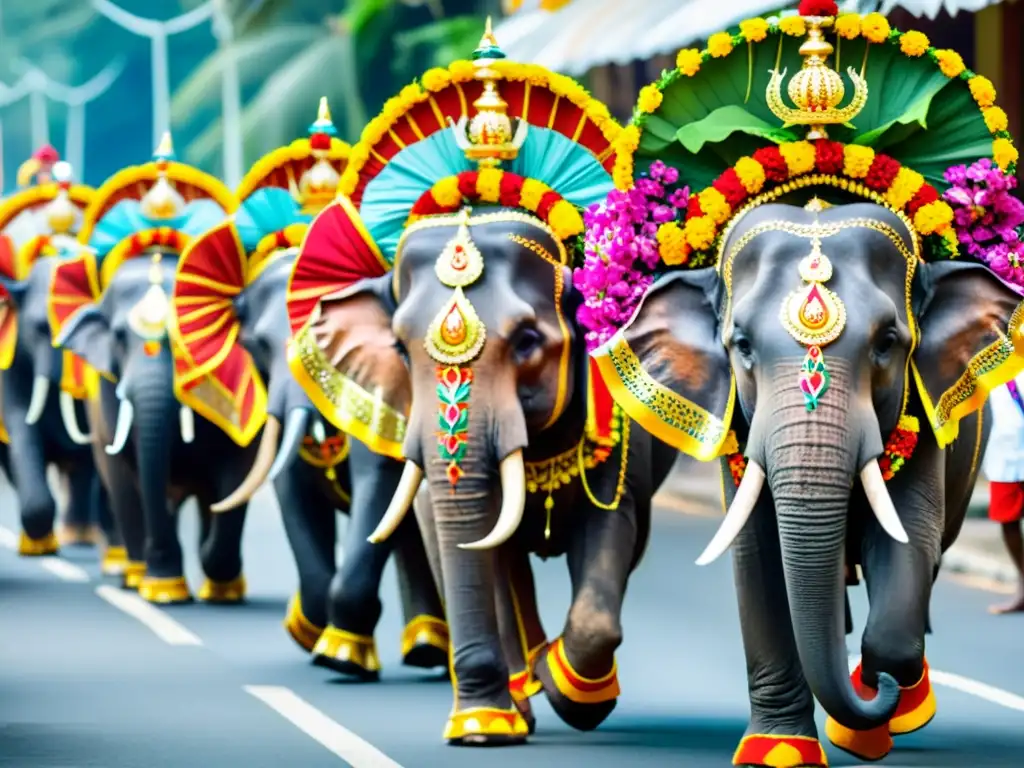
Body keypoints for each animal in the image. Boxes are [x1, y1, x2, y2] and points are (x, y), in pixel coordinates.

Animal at [45, 135, 256, 606]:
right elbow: (131, 471)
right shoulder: (109, 392)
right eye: (118, 337)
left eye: (188, 334)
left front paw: (216, 579)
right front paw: (164, 589)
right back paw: (136, 576)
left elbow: (238, 467)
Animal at [166, 99, 448, 675]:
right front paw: (309, 633)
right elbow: (292, 488)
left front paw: (339, 656)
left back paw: (425, 648)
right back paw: (421, 647)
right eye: (257, 345)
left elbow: (375, 483)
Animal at [284, 25, 675, 745]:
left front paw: (572, 692)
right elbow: (467, 541)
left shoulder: (622, 439)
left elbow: (612, 528)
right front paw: (486, 725)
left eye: (527, 343)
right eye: (398, 349)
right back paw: (513, 694)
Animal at [589, 4, 1024, 765]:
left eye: (888, 345)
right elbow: (756, 560)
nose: (878, 690)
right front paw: (780, 750)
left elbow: (909, 542)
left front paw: (879, 698)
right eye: (739, 347)